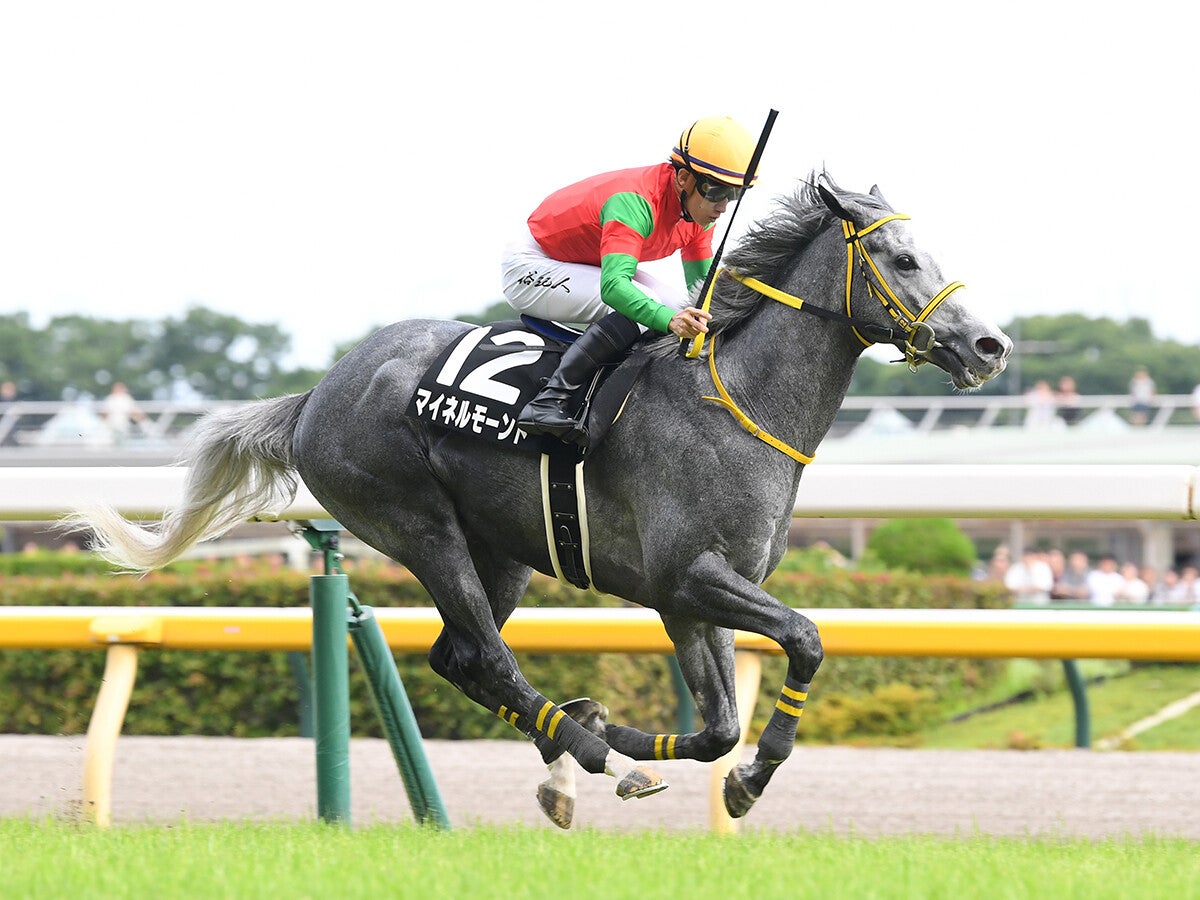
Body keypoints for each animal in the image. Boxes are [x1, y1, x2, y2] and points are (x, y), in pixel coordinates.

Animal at [69, 174, 1012, 828]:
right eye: (902, 259)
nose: (988, 344)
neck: (736, 403)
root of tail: (315, 395)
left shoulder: (688, 596)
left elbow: (717, 725)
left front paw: (681, 753)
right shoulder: (692, 576)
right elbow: (807, 641)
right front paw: (741, 776)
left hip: (503, 554)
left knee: (458, 657)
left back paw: (577, 747)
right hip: (421, 525)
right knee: (485, 657)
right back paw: (595, 755)